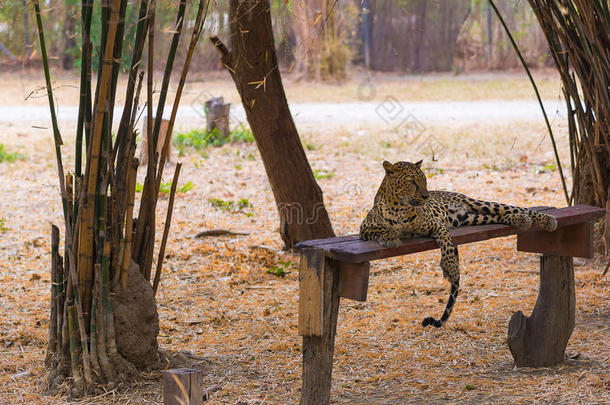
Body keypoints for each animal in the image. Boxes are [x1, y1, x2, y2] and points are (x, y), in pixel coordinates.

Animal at [358, 159, 560, 326]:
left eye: (424, 180)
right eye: (412, 182)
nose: (426, 196)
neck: (400, 208)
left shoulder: (437, 226)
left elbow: (447, 245)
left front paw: (451, 269)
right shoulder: (364, 228)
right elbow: (382, 228)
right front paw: (390, 237)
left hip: (479, 204)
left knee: (516, 208)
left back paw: (544, 219)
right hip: (475, 218)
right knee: (499, 216)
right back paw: (521, 220)